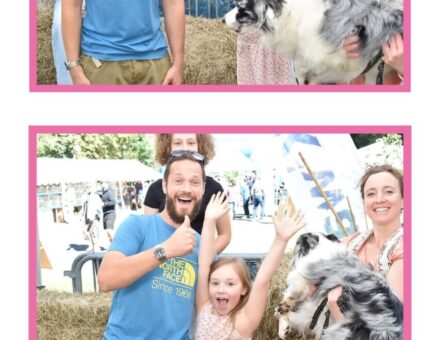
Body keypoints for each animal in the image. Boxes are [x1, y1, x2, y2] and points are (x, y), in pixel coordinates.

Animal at [276, 234, 404, 340]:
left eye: (297, 245)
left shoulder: (305, 276)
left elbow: (291, 295)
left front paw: (281, 309)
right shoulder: (311, 315)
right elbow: (289, 314)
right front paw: (283, 328)